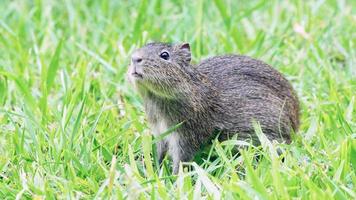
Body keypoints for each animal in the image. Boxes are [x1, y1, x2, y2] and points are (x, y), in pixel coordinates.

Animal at [126, 42, 298, 173]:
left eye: (165, 55)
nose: (135, 58)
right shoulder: (160, 133)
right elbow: (159, 155)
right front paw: (153, 171)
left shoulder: (185, 138)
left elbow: (180, 163)